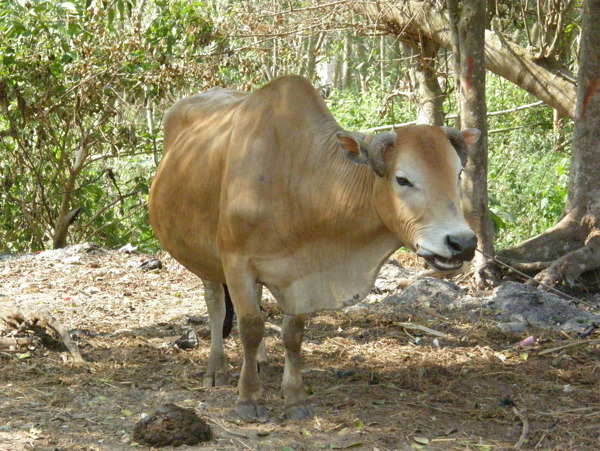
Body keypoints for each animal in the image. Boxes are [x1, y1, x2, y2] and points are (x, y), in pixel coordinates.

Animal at [148, 77, 480, 420]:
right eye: (403, 179)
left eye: (458, 174)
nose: (463, 242)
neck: (296, 180)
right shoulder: (236, 261)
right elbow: (250, 326)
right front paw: (249, 397)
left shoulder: (301, 275)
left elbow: (292, 333)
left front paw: (294, 397)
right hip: (204, 257)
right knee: (216, 305)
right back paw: (217, 367)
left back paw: (259, 360)